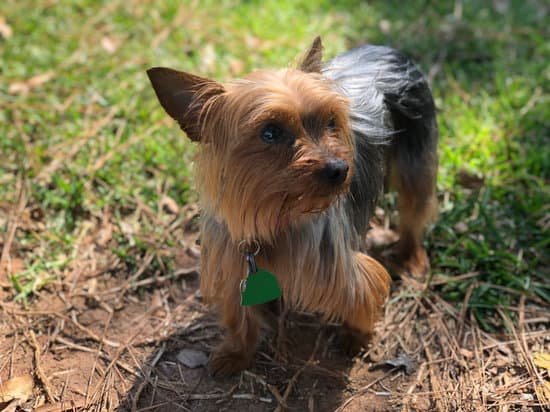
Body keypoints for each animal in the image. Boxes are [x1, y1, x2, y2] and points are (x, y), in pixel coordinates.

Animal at [148, 37, 440, 374]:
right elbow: (239, 315)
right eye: (270, 132)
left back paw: (411, 256)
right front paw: (236, 353)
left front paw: (356, 337)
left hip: (415, 158)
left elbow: (362, 294)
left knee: (414, 209)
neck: (274, 215)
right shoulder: (232, 262)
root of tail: (385, 49)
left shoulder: (336, 265)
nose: (340, 169)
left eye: (330, 122)